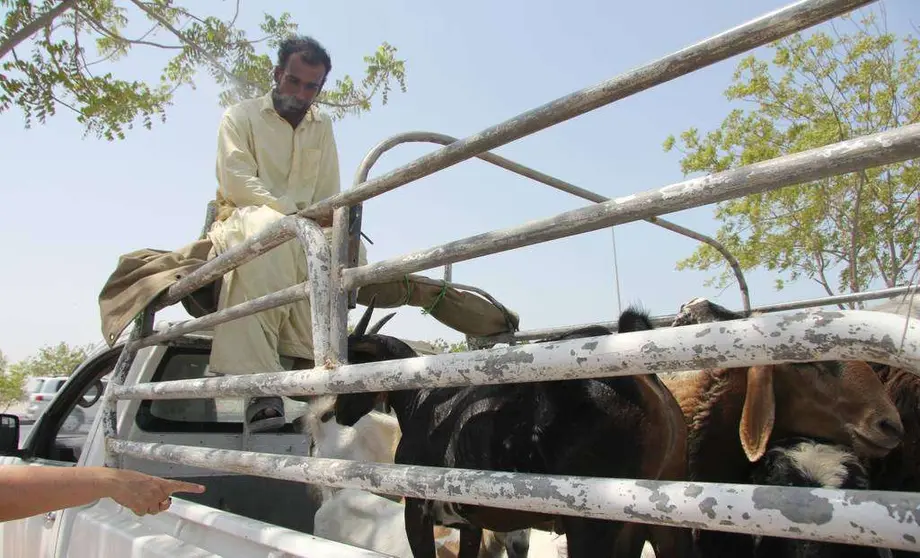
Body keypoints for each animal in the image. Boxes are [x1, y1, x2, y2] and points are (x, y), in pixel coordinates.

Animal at [334, 302, 692, 558]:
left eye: (354, 362)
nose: (338, 411)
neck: (421, 399)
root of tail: (642, 379)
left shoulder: (417, 508)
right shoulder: (468, 522)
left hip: (593, 521)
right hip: (660, 519)